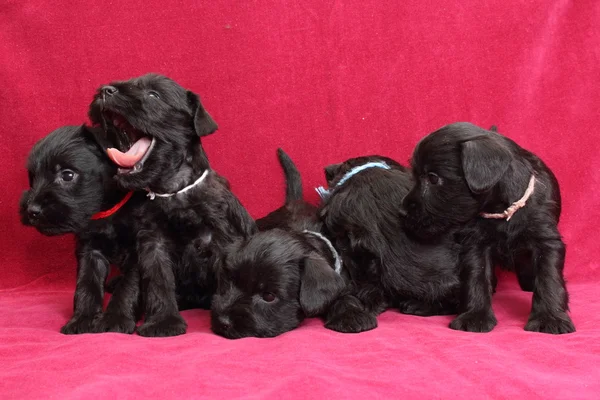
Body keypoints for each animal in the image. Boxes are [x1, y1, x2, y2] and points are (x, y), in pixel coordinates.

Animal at [88, 73, 256, 336]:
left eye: (153, 95)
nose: (105, 90)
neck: (173, 191)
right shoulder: (153, 242)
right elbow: (158, 281)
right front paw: (164, 321)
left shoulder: (221, 241)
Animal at [400, 122, 576, 334]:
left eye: (433, 178)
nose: (401, 211)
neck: (503, 210)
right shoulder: (476, 244)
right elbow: (477, 277)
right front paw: (475, 316)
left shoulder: (546, 241)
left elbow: (548, 278)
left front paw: (550, 317)